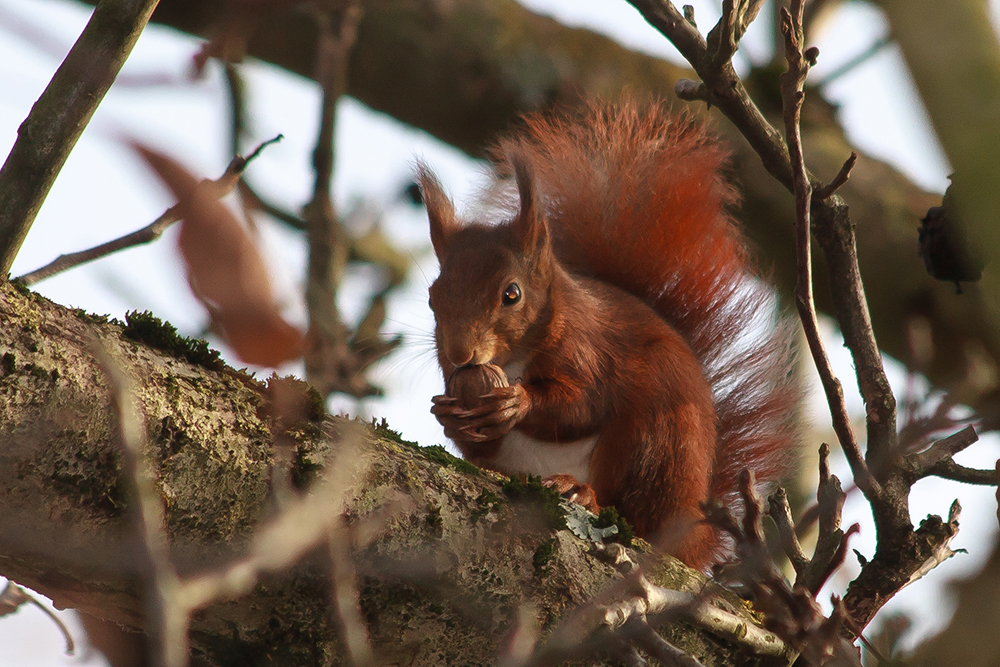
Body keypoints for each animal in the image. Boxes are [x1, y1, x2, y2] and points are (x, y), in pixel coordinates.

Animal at [418, 98, 800, 568]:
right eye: (432, 297)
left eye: (512, 294)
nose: (459, 354)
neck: (514, 359)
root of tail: (696, 534)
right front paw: (447, 412)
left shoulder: (591, 349)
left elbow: (584, 403)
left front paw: (517, 401)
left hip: (654, 435)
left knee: (631, 508)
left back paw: (583, 493)